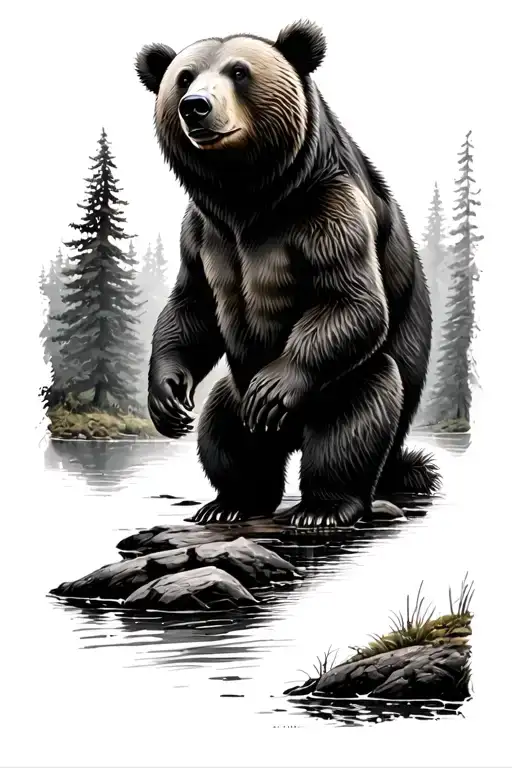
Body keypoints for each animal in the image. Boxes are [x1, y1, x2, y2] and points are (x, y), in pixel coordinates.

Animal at [135, 19, 441, 529]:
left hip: (345, 388)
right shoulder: (202, 231)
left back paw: (324, 506)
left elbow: (350, 300)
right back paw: (230, 502)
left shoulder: (330, 210)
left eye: (239, 71)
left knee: (356, 416)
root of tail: (290, 438)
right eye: (183, 76)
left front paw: (275, 385)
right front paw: (167, 394)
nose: (195, 106)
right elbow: (192, 304)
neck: (249, 201)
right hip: (232, 392)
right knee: (224, 433)